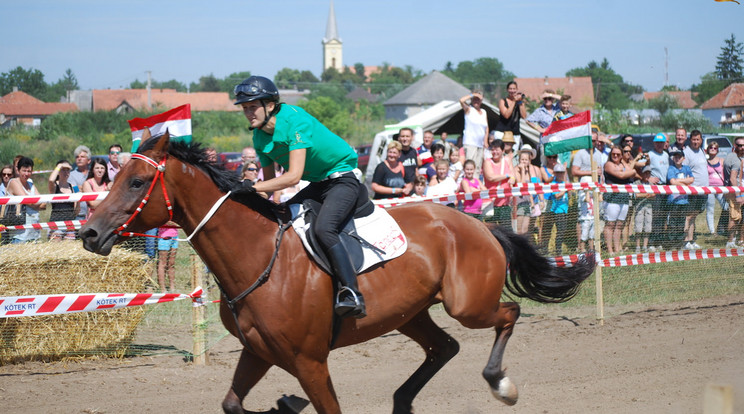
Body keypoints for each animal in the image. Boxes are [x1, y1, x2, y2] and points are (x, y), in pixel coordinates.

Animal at [80, 133, 592, 414]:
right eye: (114, 174)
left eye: (137, 182)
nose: (89, 233)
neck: (257, 257)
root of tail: (479, 223)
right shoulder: (259, 352)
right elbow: (231, 403)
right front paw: (283, 406)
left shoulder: (310, 361)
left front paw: (288, 404)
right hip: (410, 313)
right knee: (444, 347)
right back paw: (401, 402)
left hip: (468, 305)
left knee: (507, 315)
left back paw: (500, 383)